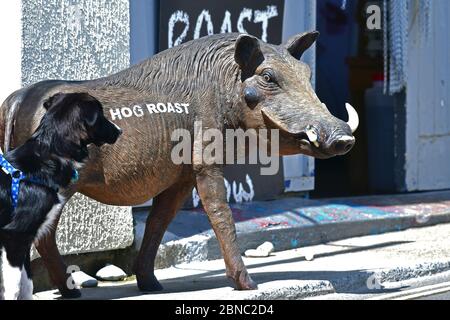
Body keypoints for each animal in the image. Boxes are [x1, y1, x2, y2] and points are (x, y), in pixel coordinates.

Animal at [0, 93, 121, 300]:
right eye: (101, 116)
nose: (120, 131)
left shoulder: (26, 237)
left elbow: (27, 284)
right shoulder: (14, 235)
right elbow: (13, 286)